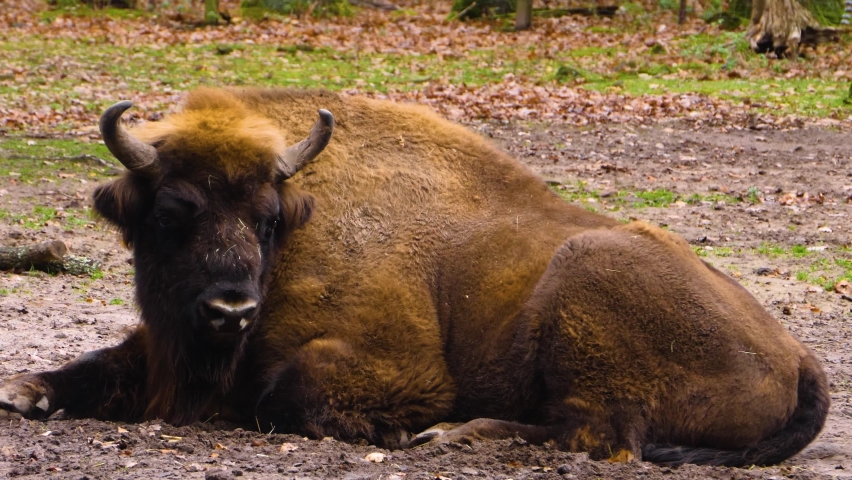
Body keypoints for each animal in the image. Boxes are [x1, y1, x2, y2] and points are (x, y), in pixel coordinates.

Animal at [0, 88, 828, 466]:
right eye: (175, 210)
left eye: (268, 217)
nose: (231, 309)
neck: (301, 230)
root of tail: (799, 355)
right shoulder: (164, 343)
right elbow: (100, 363)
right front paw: (26, 391)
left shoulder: (401, 365)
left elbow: (284, 393)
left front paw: (396, 428)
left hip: (584, 282)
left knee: (600, 433)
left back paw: (451, 433)